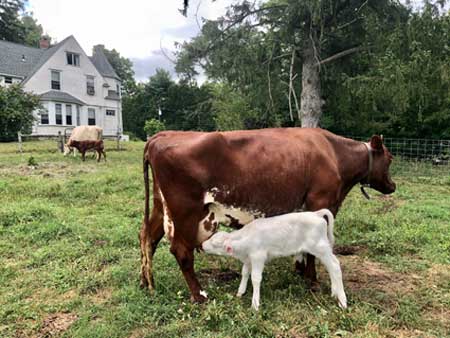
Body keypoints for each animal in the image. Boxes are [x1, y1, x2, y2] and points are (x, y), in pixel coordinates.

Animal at [202, 209, 346, 312]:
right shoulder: (248, 259)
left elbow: (255, 278)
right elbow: (245, 273)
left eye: (215, 244)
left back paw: (342, 301)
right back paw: (334, 293)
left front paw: (255, 304)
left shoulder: (258, 256)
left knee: (335, 266)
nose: (202, 245)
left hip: (320, 247)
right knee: (330, 268)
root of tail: (316, 214)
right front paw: (240, 292)